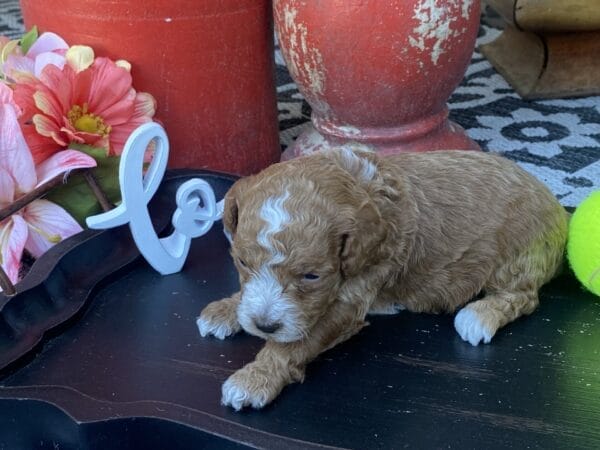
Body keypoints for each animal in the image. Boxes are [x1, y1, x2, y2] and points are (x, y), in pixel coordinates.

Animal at [196, 149, 568, 412]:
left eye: (312, 276)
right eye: (242, 262)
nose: (264, 326)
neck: (360, 185)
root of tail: (557, 206)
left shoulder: (348, 303)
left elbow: (294, 345)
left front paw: (253, 379)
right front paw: (226, 310)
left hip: (519, 251)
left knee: (523, 297)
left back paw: (479, 316)